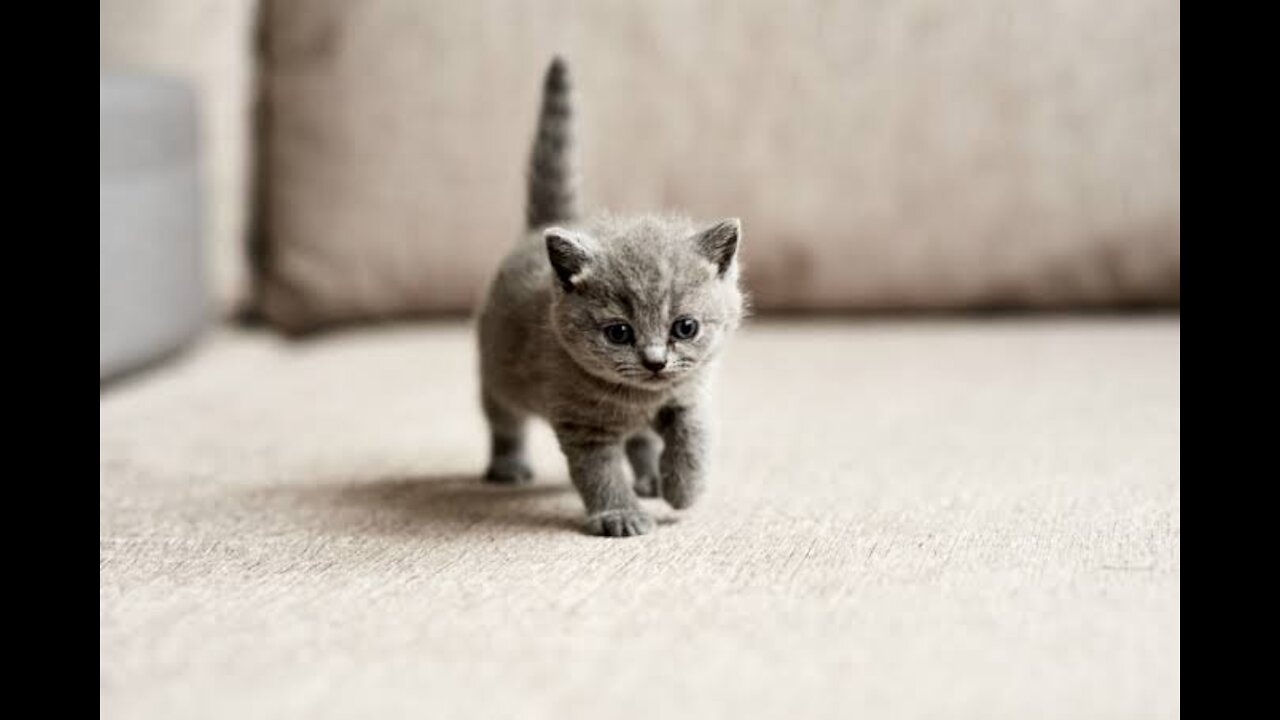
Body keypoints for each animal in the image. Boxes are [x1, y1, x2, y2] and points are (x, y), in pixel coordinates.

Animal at [476, 56, 747, 535]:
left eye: (686, 327)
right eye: (619, 333)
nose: (655, 361)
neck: (641, 399)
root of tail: (542, 228)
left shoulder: (688, 393)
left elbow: (693, 435)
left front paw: (682, 489)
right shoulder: (582, 424)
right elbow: (599, 472)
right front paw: (620, 515)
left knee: (639, 439)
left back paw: (652, 478)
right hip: (497, 372)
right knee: (504, 420)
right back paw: (508, 466)